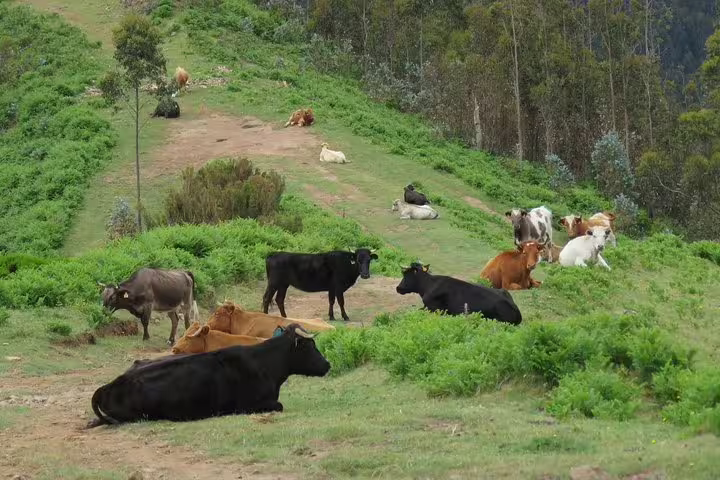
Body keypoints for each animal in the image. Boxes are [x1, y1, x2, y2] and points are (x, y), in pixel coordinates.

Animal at [87, 324, 330, 427]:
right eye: (310, 345)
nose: (327, 365)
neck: (264, 363)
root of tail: (109, 386)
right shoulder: (251, 404)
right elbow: (279, 406)